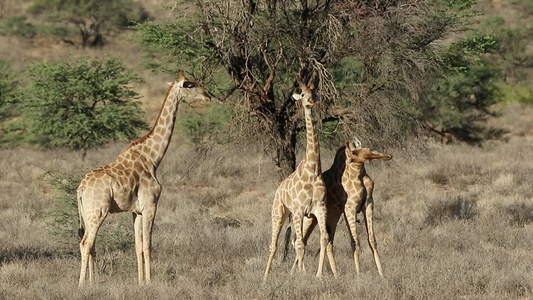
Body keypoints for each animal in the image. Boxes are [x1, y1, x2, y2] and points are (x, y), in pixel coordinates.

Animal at [77, 71, 210, 284]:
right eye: (190, 84)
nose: (208, 96)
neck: (152, 157)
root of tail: (80, 189)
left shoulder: (136, 211)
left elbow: (137, 246)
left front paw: (140, 282)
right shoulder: (151, 205)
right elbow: (148, 245)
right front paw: (149, 282)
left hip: (88, 213)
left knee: (91, 244)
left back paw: (93, 283)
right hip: (97, 211)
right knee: (85, 243)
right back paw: (82, 285)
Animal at [262, 81, 336, 282]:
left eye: (314, 92)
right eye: (302, 94)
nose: (310, 102)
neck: (313, 169)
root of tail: (279, 188)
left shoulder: (319, 208)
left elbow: (323, 239)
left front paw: (318, 274)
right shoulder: (298, 209)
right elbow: (301, 245)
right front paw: (303, 275)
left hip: (299, 216)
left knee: (295, 240)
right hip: (279, 212)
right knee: (275, 245)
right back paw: (265, 277)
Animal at [302, 138, 392, 276]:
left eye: (370, 149)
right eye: (355, 153)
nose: (388, 156)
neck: (358, 175)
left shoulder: (368, 204)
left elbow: (372, 240)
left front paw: (381, 273)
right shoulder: (350, 207)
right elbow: (356, 242)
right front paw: (358, 274)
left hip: (332, 217)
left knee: (328, 242)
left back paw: (335, 274)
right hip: (310, 217)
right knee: (299, 240)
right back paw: (303, 272)